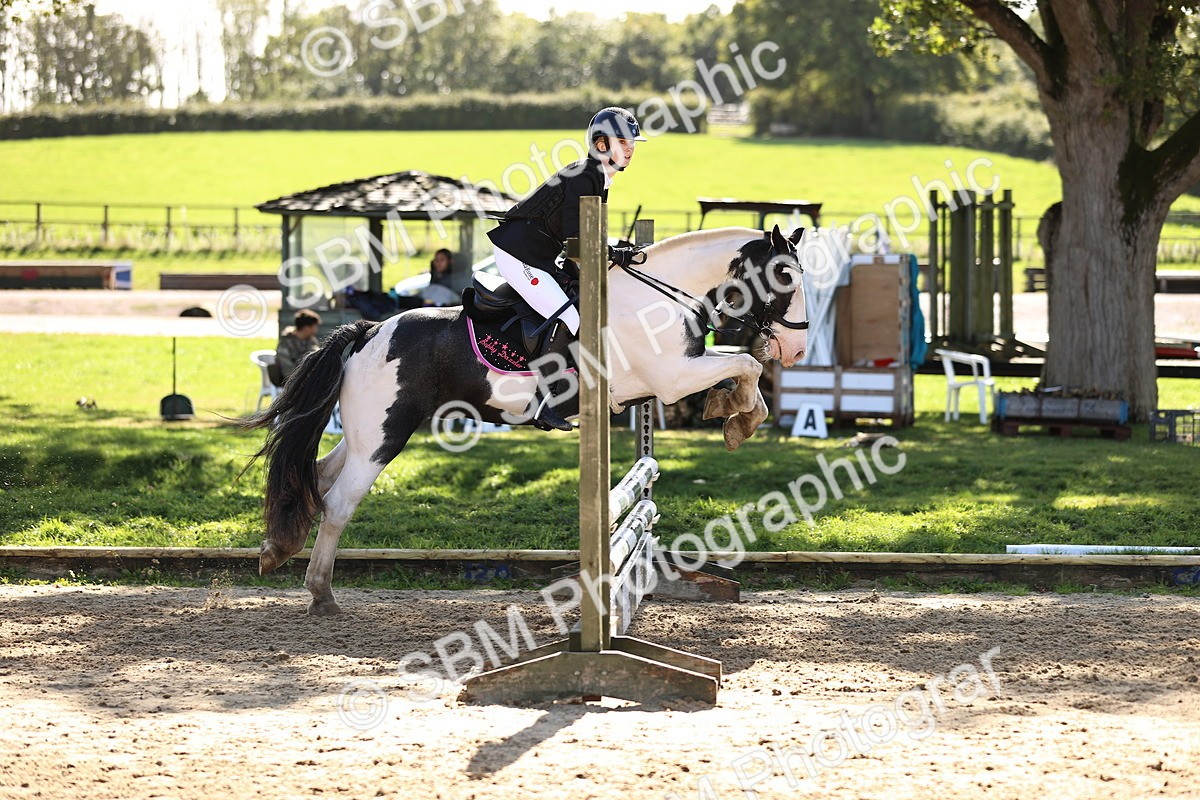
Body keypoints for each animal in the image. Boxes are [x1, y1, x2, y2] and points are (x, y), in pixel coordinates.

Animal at [244, 225, 808, 616]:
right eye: (785, 276)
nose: (798, 349)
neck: (659, 296)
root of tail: (369, 331)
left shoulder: (663, 383)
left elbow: (741, 365)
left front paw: (733, 413)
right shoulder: (671, 378)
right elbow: (747, 362)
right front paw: (739, 417)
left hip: (366, 433)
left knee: (318, 475)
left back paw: (277, 551)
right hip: (383, 436)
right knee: (339, 502)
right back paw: (320, 594)